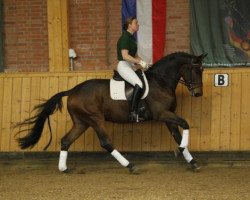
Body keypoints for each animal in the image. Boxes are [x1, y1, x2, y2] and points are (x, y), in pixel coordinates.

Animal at [15, 51, 207, 173]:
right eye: (196, 69)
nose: (198, 94)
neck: (161, 81)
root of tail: (73, 90)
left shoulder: (168, 116)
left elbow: (178, 134)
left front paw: (191, 160)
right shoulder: (162, 114)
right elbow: (185, 124)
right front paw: (181, 150)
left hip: (82, 122)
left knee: (66, 141)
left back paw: (64, 168)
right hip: (95, 119)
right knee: (106, 143)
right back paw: (130, 166)